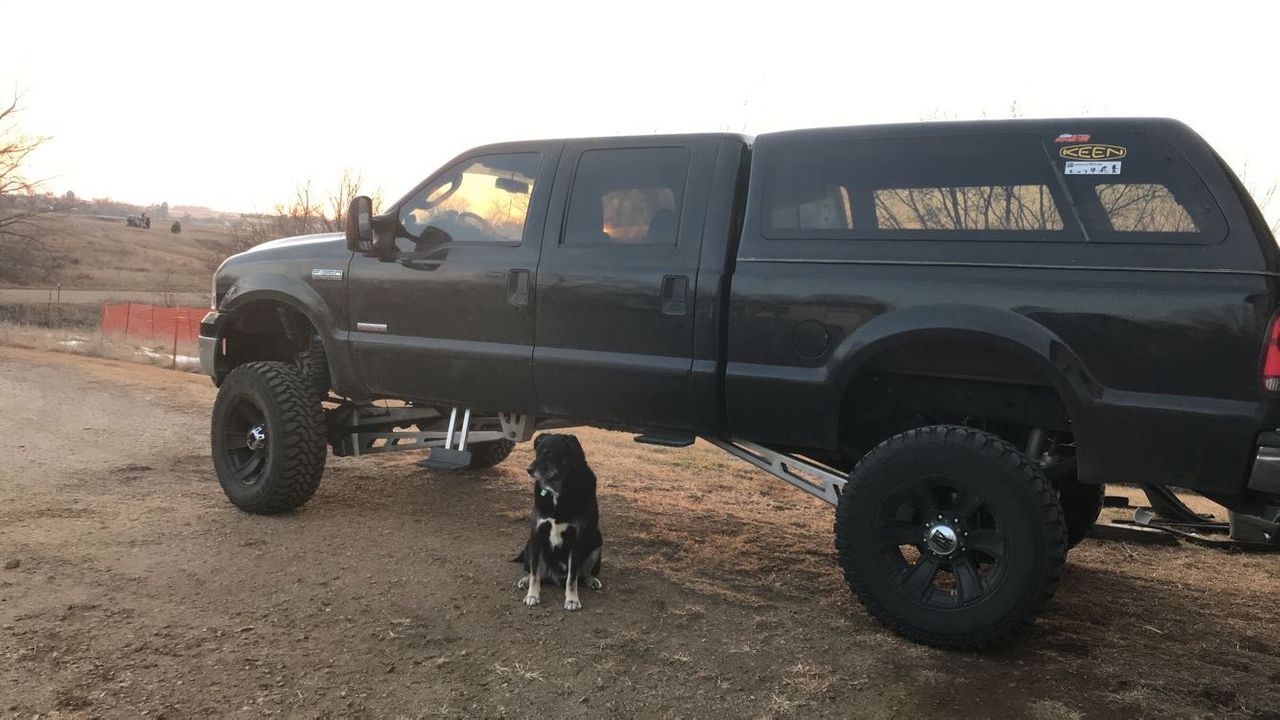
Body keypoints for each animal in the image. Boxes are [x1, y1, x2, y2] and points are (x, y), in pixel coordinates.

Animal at [512, 430, 601, 609]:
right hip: (530, 545)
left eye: (551, 454)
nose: (529, 470)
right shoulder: (537, 534)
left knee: (583, 572)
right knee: (537, 572)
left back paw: (591, 579)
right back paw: (525, 580)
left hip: (597, 540)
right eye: (537, 453)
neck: (557, 492)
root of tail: (554, 576)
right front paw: (532, 595)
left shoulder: (577, 541)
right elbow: (534, 573)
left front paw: (572, 599)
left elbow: (572, 578)